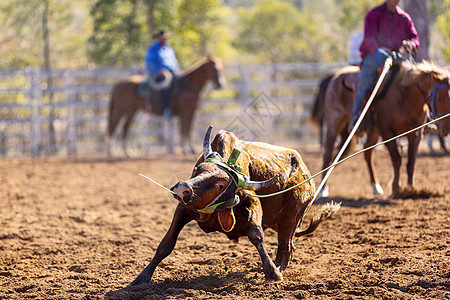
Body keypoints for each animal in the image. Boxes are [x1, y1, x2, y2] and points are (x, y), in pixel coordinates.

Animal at [312, 61, 450, 198]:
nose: (446, 128)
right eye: (440, 98)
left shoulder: (416, 134)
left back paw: (376, 186)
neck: (404, 95)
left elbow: (411, 163)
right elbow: (397, 159)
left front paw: (411, 190)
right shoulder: (387, 132)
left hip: (369, 133)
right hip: (334, 123)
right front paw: (395, 189)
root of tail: (335, 77)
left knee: (365, 153)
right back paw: (323, 189)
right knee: (328, 152)